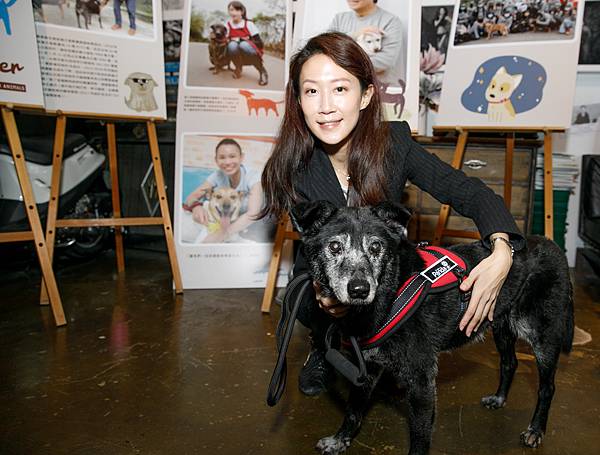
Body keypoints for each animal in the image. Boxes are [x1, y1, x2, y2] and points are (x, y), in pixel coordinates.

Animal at [292, 201, 576, 454]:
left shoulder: (421, 381)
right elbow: (353, 409)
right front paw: (340, 440)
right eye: (334, 246)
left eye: (375, 246)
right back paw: (499, 398)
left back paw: (535, 430)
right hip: (502, 328)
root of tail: (553, 247)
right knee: (509, 363)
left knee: (547, 387)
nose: (360, 289)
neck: (392, 290)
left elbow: (419, 436)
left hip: (543, 337)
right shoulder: (367, 368)